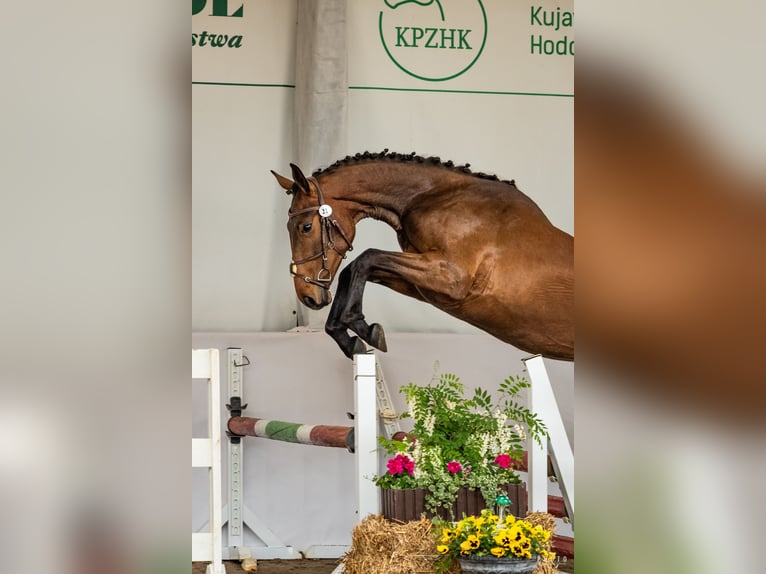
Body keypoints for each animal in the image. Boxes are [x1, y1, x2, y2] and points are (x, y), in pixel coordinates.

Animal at [271, 150, 574, 361]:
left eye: (305, 227)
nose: (307, 296)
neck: (433, 198)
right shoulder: (425, 285)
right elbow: (357, 269)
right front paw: (349, 336)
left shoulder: (451, 278)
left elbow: (365, 259)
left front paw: (361, 327)